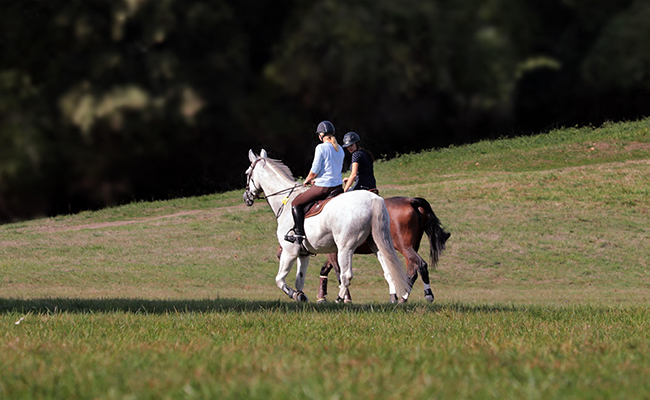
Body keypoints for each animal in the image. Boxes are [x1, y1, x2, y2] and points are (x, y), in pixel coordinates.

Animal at [243, 149, 411, 302]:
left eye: (247, 173)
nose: (246, 198)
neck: (285, 201)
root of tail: (373, 199)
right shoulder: (303, 254)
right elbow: (299, 280)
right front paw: (301, 296)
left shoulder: (289, 252)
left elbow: (279, 279)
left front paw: (294, 295)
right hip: (377, 244)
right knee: (389, 270)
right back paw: (394, 298)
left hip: (345, 248)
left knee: (346, 275)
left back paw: (339, 300)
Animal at [316, 197, 450, 304]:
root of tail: (410, 200)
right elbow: (324, 270)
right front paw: (322, 297)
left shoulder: (335, 252)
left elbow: (338, 273)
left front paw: (344, 298)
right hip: (411, 248)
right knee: (412, 271)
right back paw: (403, 297)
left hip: (405, 247)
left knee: (421, 265)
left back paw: (425, 295)